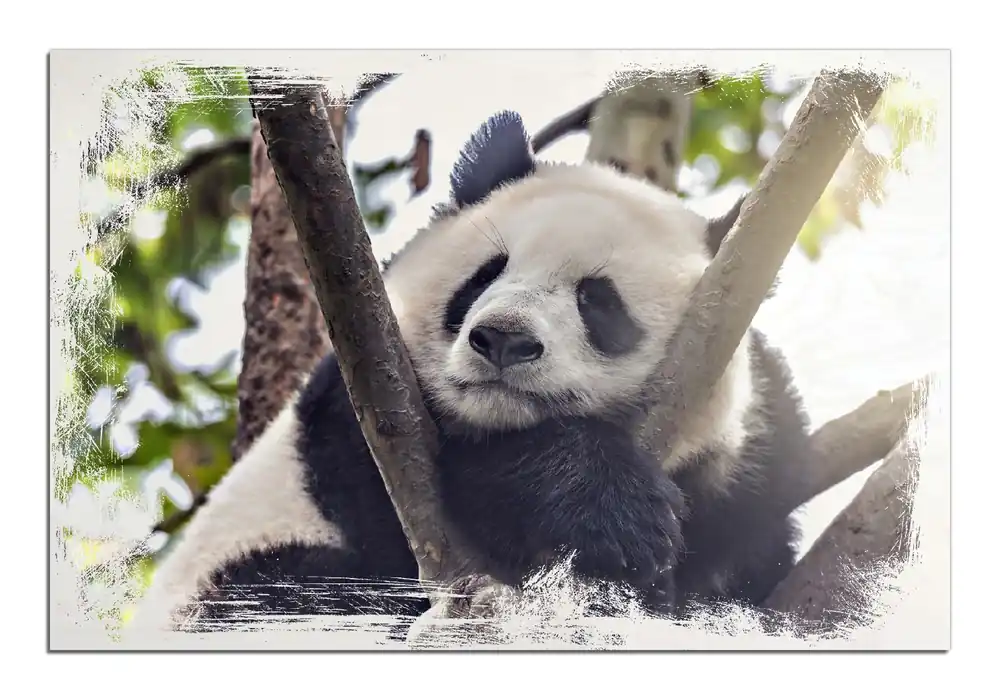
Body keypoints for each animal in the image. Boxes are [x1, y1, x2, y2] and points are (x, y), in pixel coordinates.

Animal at [132, 110, 812, 636]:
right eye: (485, 274)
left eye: (598, 301)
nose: (503, 339)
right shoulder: (362, 399)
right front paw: (613, 518)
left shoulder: (745, 468)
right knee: (288, 593)